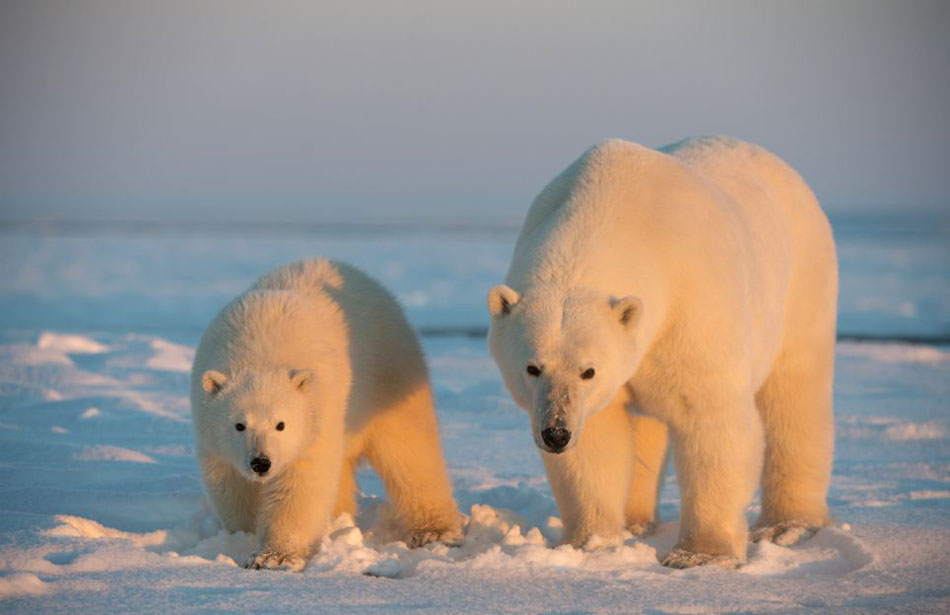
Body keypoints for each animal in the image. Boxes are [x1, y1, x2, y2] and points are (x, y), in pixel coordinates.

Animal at [192, 258, 462, 572]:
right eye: (239, 425)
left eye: (281, 424)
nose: (261, 463)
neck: (258, 354)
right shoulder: (214, 439)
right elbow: (232, 484)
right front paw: (243, 538)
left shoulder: (316, 413)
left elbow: (302, 484)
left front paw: (274, 557)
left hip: (388, 374)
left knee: (409, 450)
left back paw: (436, 530)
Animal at [490, 137, 840, 572]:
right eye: (532, 367)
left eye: (589, 371)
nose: (555, 434)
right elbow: (597, 440)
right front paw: (592, 544)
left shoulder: (694, 304)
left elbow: (710, 418)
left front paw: (700, 555)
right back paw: (638, 521)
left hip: (802, 280)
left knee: (794, 393)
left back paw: (787, 526)